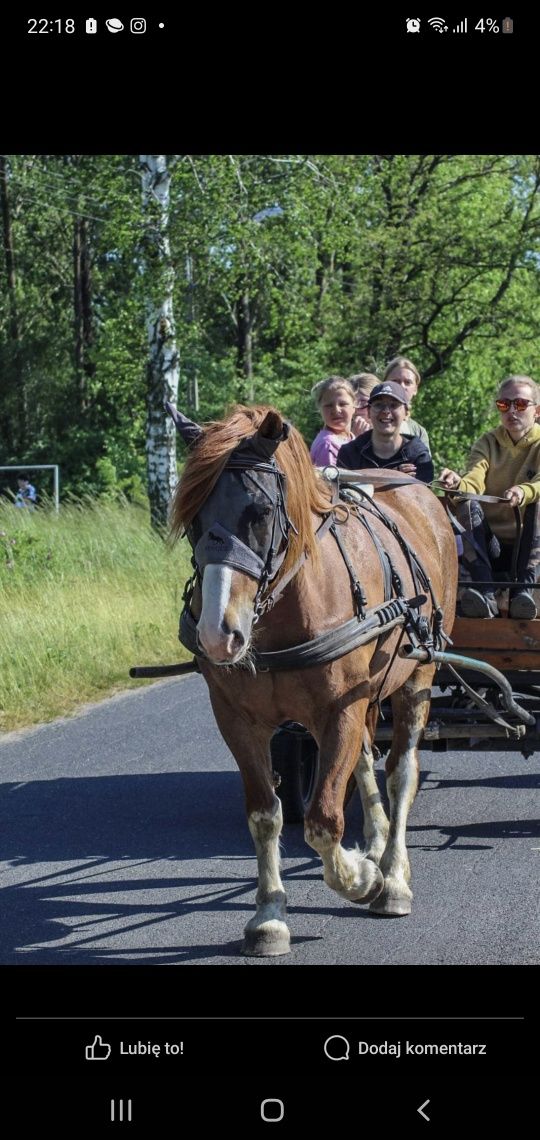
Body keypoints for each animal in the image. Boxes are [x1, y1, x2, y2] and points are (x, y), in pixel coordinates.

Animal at [168, 405, 455, 957]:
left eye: (260, 513)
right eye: (193, 519)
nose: (218, 634)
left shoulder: (340, 707)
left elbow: (324, 820)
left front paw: (363, 879)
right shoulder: (237, 719)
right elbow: (266, 815)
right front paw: (269, 917)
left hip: (417, 675)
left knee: (400, 771)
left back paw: (393, 876)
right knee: (363, 759)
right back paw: (376, 842)